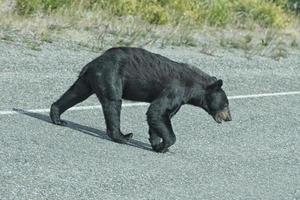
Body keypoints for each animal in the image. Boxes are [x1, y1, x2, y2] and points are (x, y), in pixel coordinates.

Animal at [50, 47, 232, 153]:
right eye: (226, 104)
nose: (229, 118)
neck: (193, 87)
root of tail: (92, 63)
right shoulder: (175, 90)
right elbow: (157, 111)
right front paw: (165, 145)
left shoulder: (179, 100)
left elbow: (160, 116)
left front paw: (156, 143)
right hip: (111, 76)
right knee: (113, 103)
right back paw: (123, 136)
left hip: (88, 79)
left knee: (75, 93)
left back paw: (57, 117)